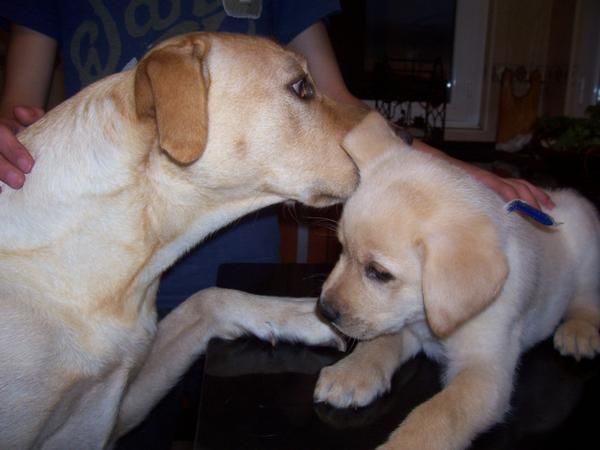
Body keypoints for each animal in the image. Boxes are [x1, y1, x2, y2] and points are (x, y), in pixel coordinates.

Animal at [314, 110, 600, 448]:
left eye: (379, 273)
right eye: (341, 248)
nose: (324, 310)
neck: (430, 320)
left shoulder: (485, 372)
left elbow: (441, 414)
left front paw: (405, 443)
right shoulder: (405, 323)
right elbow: (379, 344)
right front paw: (351, 373)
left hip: (587, 260)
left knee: (587, 301)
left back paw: (579, 332)